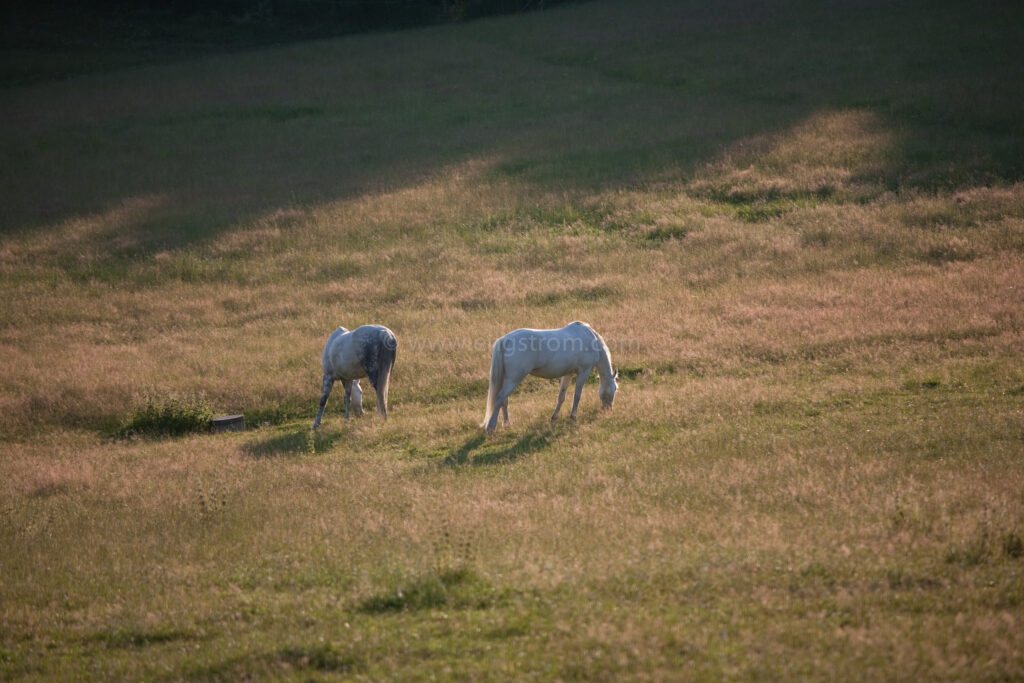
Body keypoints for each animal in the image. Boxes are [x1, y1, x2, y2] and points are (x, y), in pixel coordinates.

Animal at [481, 321, 614, 438]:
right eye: (614, 390)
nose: (608, 410)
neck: (592, 339)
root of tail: (506, 340)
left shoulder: (568, 374)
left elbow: (561, 397)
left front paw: (554, 417)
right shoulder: (584, 372)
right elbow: (577, 396)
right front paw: (573, 416)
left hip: (507, 379)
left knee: (504, 400)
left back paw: (507, 424)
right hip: (513, 380)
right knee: (499, 398)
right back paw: (491, 427)